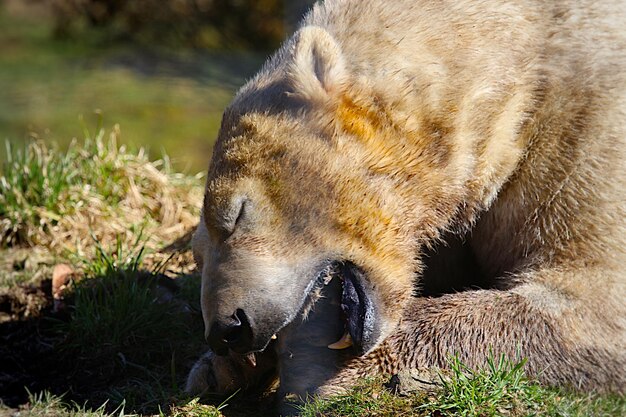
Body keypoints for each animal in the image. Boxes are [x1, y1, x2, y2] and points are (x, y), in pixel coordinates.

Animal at [185, 0, 624, 404]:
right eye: (198, 254)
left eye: (237, 213)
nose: (227, 329)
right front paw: (218, 370)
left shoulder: (582, 134)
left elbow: (589, 300)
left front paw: (321, 369)